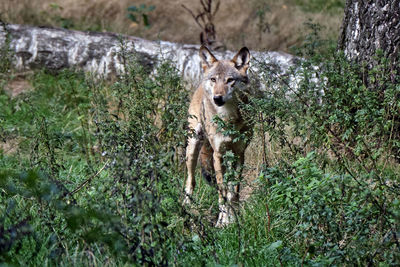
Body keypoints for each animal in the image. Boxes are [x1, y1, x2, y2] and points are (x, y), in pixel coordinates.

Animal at [184, 45, 253, 226]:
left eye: (230, 80)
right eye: (214, 79)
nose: (217, 98)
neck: (228, 119)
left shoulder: (240, 154)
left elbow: (233, 192)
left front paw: (233, 219)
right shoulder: (218, 154)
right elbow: (222, 194)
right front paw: (222, 222)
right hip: (192, 148)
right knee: (190, 180)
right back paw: (186, 208)